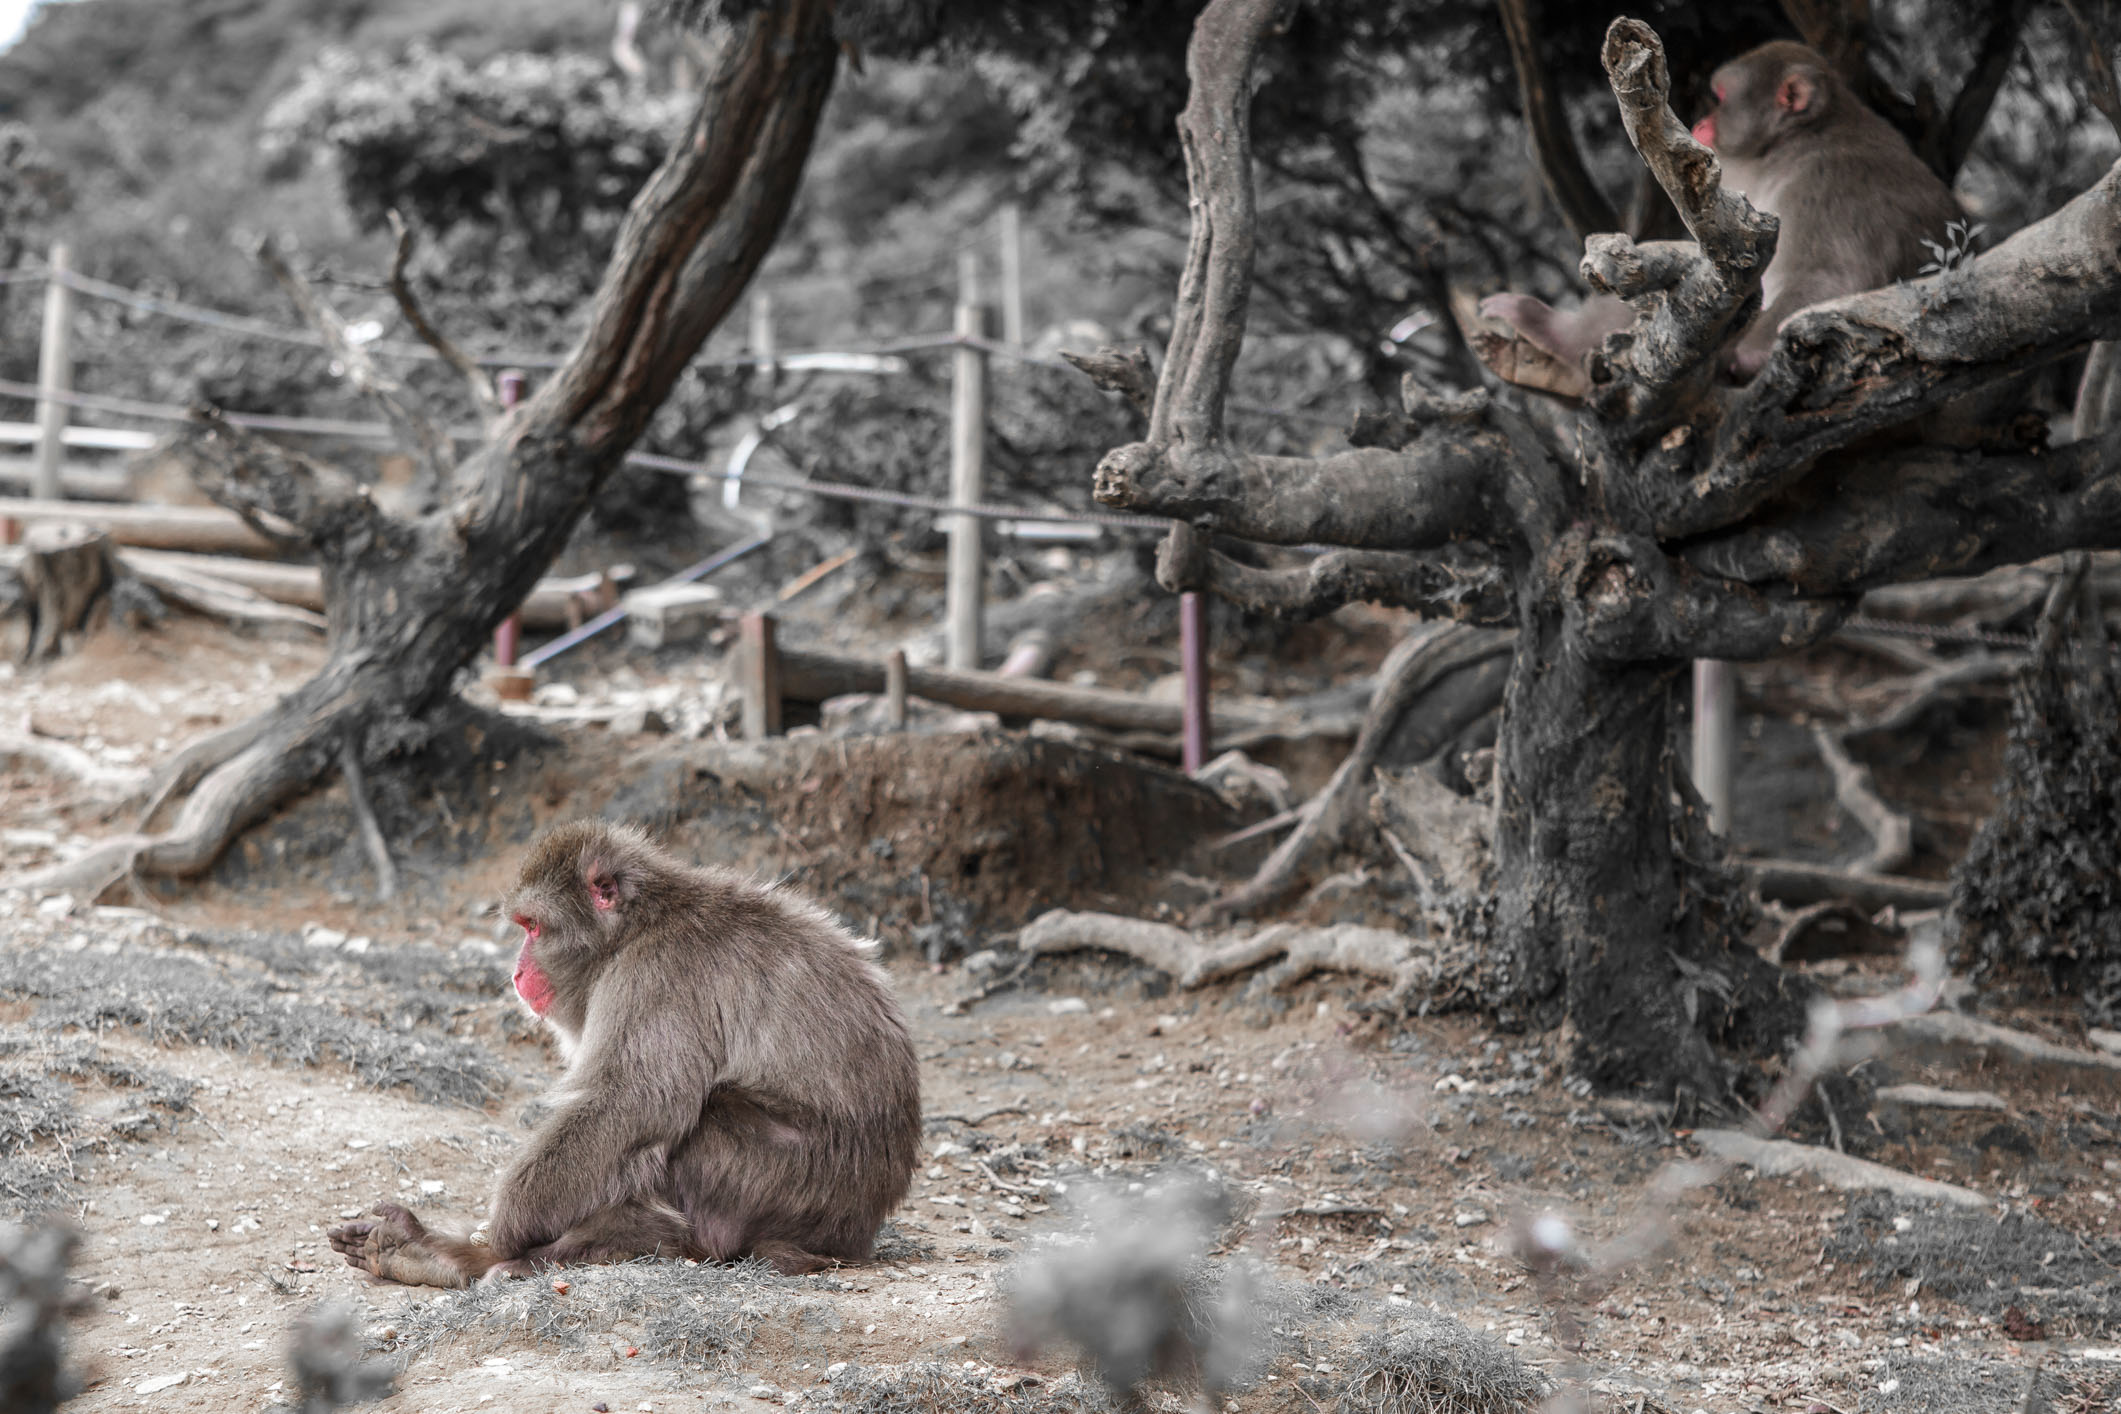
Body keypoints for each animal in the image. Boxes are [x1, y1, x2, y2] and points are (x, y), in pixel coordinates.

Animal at [327, 821, 922, 1284]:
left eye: (534, 927)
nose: (516, 971)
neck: (639, 925)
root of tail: (856, 1234)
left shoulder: (654, 974)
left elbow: (631, 1101)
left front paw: (506, 1231)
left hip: (801, 1188)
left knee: (709, 1119)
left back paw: (597, 1246)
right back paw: (417, 1251)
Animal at [1482, 41, 1962, 384]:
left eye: (1721, 96)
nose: (1701, 120)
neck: (1793, 143)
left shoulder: (1825, 184)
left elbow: (1832, 275)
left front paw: (1749, 353)